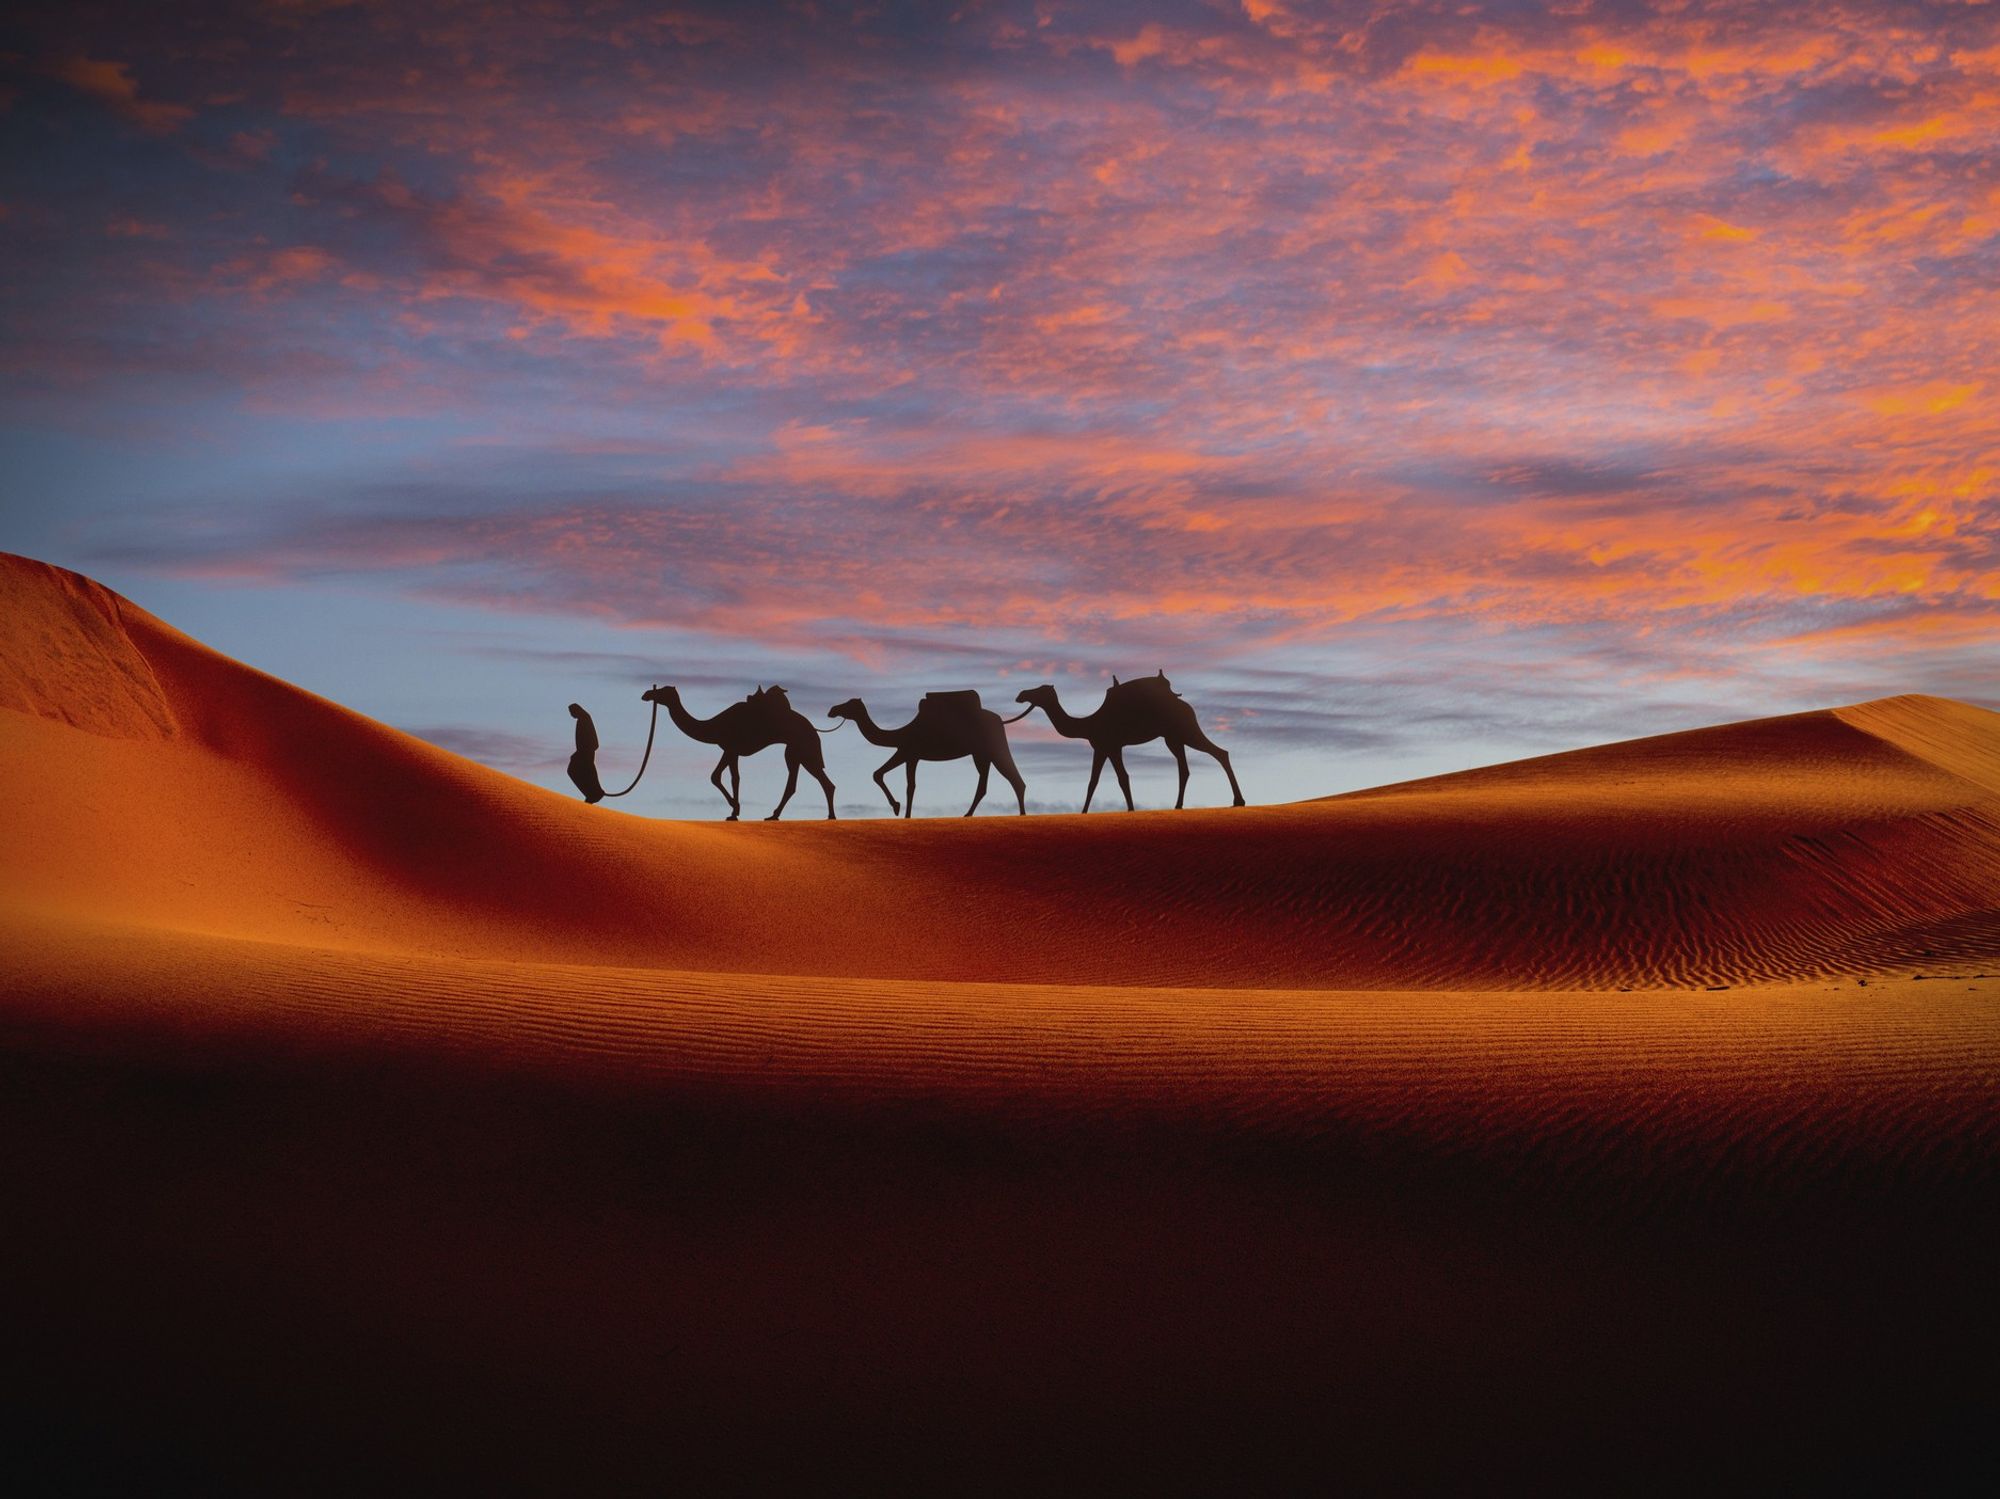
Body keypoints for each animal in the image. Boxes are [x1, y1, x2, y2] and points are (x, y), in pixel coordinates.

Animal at [640, 684, 836, 821]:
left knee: (821, 781)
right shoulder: (732, 751)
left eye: (663, 691)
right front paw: (734, 812)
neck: (714, 725)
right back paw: (775, 815)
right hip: (794, 752)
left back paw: (829, 816)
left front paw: (735, 808)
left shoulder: (730, 748)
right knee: (798, 783)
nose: (647, 694)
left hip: (803, 750)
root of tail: (814, 730)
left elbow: (716, 776)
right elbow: (735, 778)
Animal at [827, 690, 1028, 818]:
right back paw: (968, 814)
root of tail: (1001, 720)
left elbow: (895, 780)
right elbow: (906, 784)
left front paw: (899, 809)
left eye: (849, 704)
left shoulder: (907, 751)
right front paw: (902, 810)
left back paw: (1022, 814)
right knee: (986, 782)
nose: (832, 710)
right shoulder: (911, 756)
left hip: (993, 746)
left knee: (1012, 776)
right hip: (980, 753)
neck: (899, 733)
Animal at [1014, 672, 1245, 812]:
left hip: (1186, 730)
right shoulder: (1102, 748)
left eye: (1041, 689)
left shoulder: (1112, 746)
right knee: (1185, 767)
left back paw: (1238, 801)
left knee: (1219, 753)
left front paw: (1130, 809)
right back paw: (1178, 806)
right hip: (1173, 737)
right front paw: (1084, 812)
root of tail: (1185, 705)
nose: (1021, 694)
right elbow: (1093, 781)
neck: (1089, 723)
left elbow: (1121, 778)